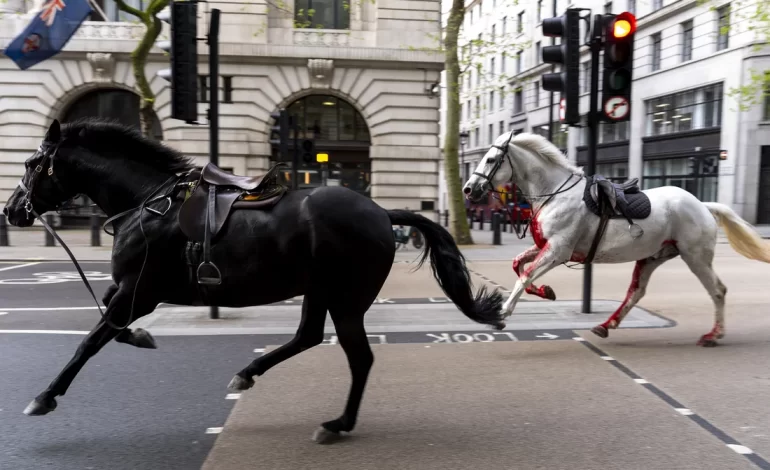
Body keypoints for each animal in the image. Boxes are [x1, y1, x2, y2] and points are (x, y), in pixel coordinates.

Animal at [4, 119, 504, 442]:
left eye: (31, 163)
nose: (11, 211)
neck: (148, 203)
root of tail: (382, 212)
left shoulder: (139, 291)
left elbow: (90, 340)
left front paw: (44, 396)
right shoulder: (130, 291)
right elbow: (109, 324)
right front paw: (142, 337)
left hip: (347, 298)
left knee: (359, 357)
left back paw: (337, 424)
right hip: (319, 291)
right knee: (308, 337)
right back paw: (249, 374)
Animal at [460, 130, 768, 346]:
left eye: (490, 159)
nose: (468, 189)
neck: (555, 193)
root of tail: (703, 205)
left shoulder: (558, 250)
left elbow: (524, 276)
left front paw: (501, 315)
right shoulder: (547, 247)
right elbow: (518, 265)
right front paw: (546, 291)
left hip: (695, 256)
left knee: (717, 290)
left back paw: (714, 335)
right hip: (653, 257)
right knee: (636, 292)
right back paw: (606, 325)